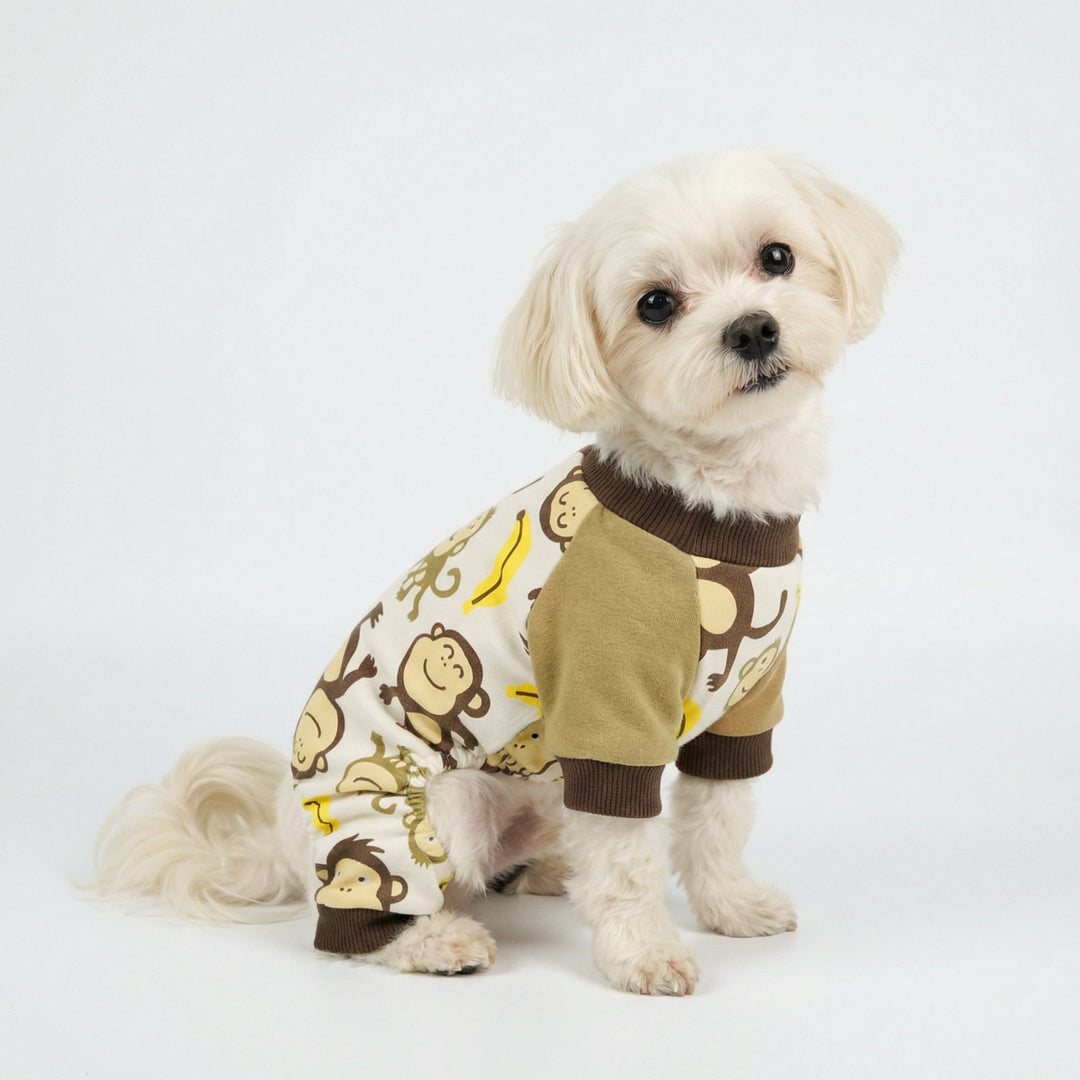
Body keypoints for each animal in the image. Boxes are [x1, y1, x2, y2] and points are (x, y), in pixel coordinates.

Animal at [378, 623, 490, 762]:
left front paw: (470, 742)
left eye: (459, 671)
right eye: (448, 649)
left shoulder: (449, 719)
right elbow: (395, 692)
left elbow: (458, 728)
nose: (444, 661)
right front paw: (385, 693)